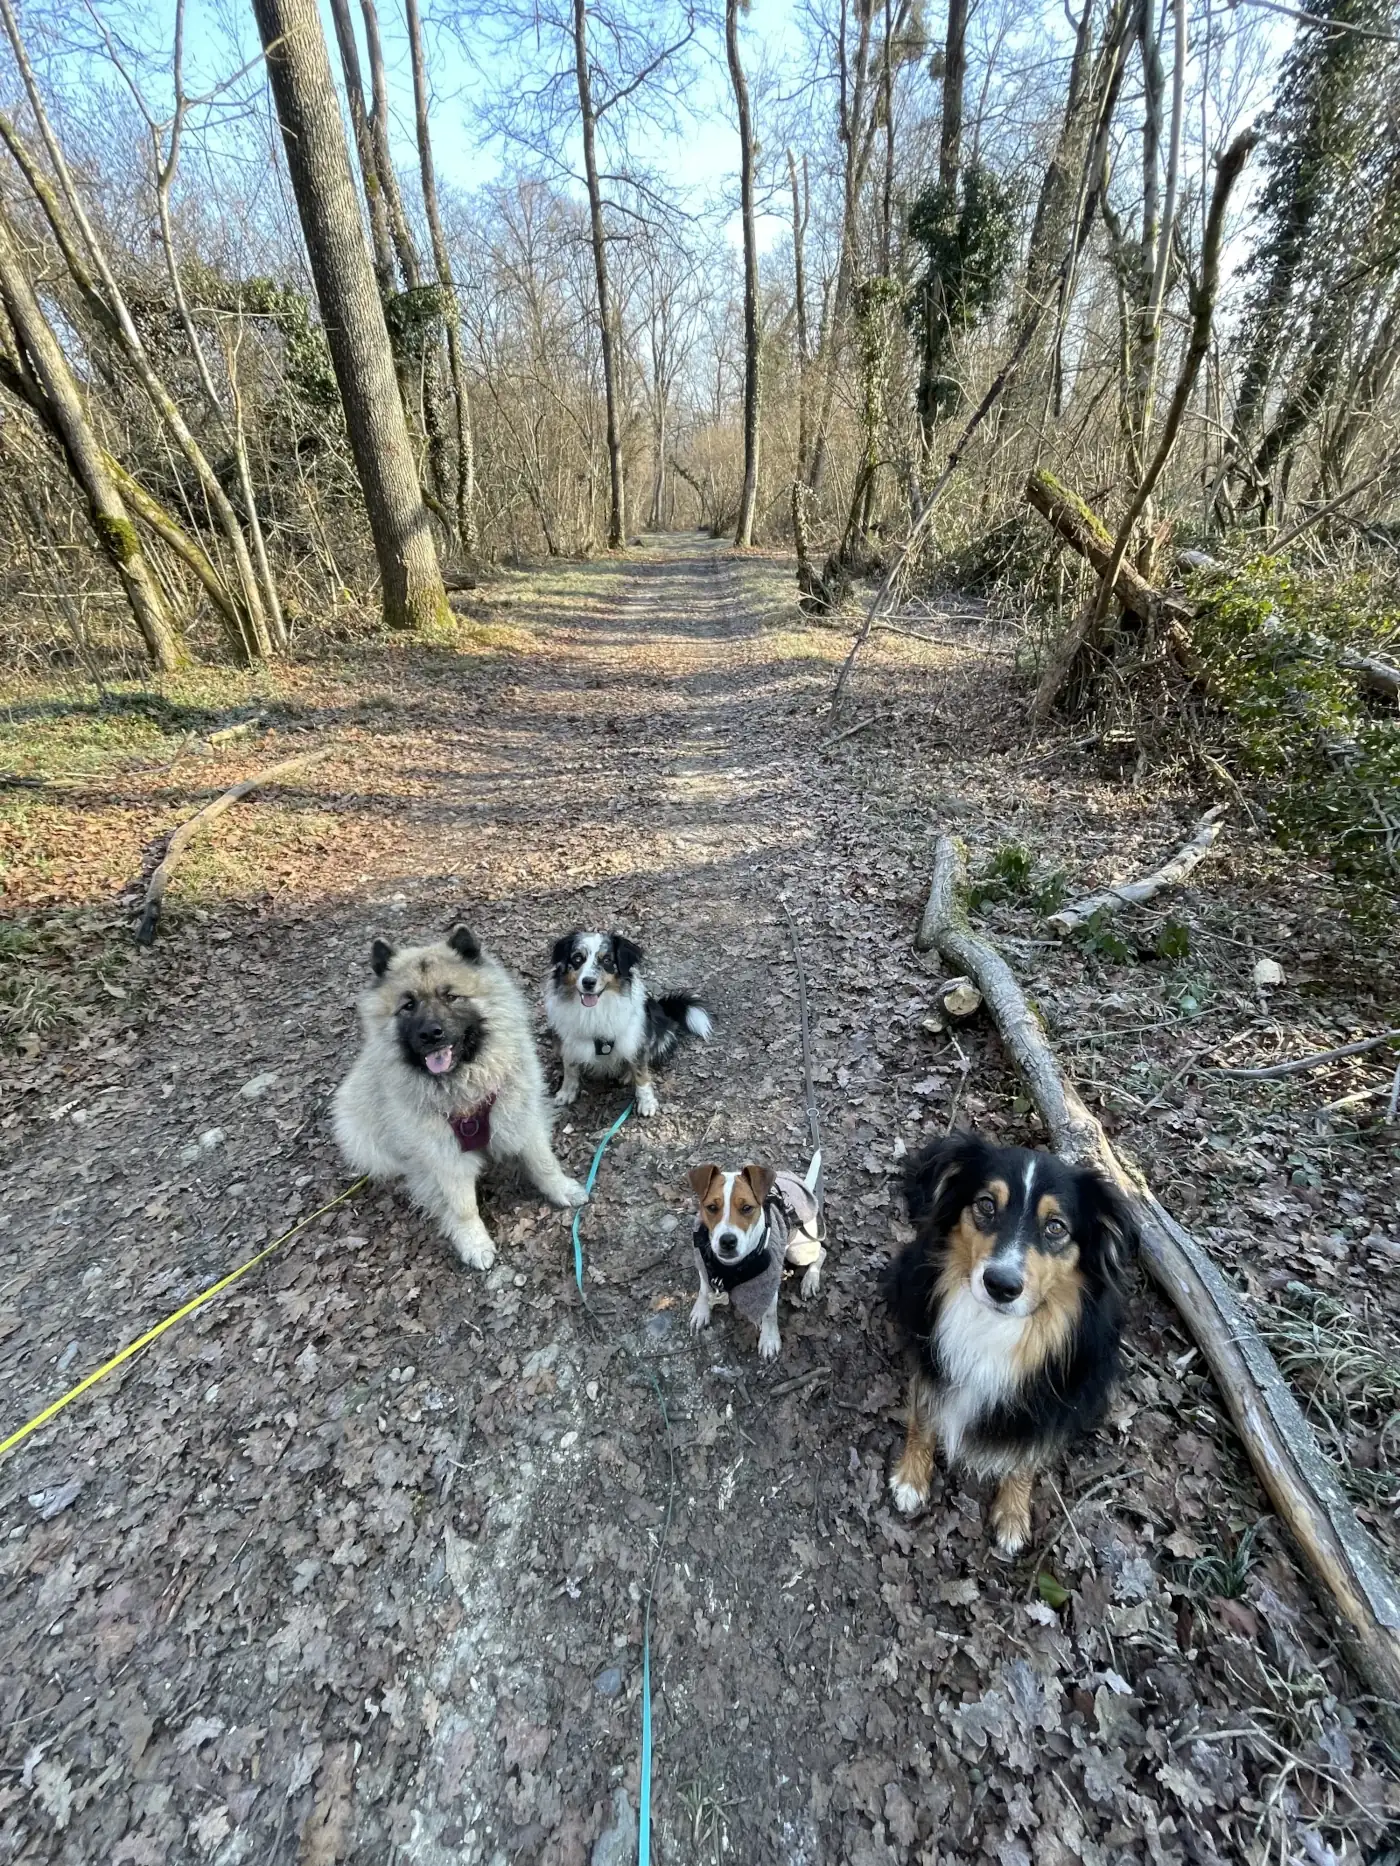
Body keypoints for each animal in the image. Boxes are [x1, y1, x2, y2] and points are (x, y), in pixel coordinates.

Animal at [333, 926, 588, 1270]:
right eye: (408, 1005)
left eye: (450, 996)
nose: (431, 1034)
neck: (464, 1089)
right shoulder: (444, 1154)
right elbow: (463, 1206)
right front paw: (473, 1241)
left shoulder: (520, 1118)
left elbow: (544, 1163)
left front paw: (562, 1189)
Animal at [546, 930, 711, 1118]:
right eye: (577, 958)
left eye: (607, 960)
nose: (588, 982)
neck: (595, 1009)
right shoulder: (568, 1040)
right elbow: (570, 1067)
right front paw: (567, 1092)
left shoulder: (634, 1040)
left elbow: (641, 1073)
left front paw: (646, 1103)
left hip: (661, 1035)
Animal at [687, 1154, 825, 1361]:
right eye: (711, 1207)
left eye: (746, 1208)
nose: (728, 1241)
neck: (730, 1266)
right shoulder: (703, 1265)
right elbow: (704, 1290)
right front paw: (701, 1310)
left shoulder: (768, 1284)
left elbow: (769, 1314)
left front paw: (769, 1339)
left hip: (798, 1252)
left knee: (821, 1251)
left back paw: (810, 1279)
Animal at [884, 1133, 1134, 1555]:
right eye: (986, 1205)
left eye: (1055, 1227)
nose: (1001, 1285)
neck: (994, 1326)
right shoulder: (930, 1355)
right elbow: (924, 1414)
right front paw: (911, 1477)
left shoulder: (1054, 1399)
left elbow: (1027, 1454)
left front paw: (1014, 1514)